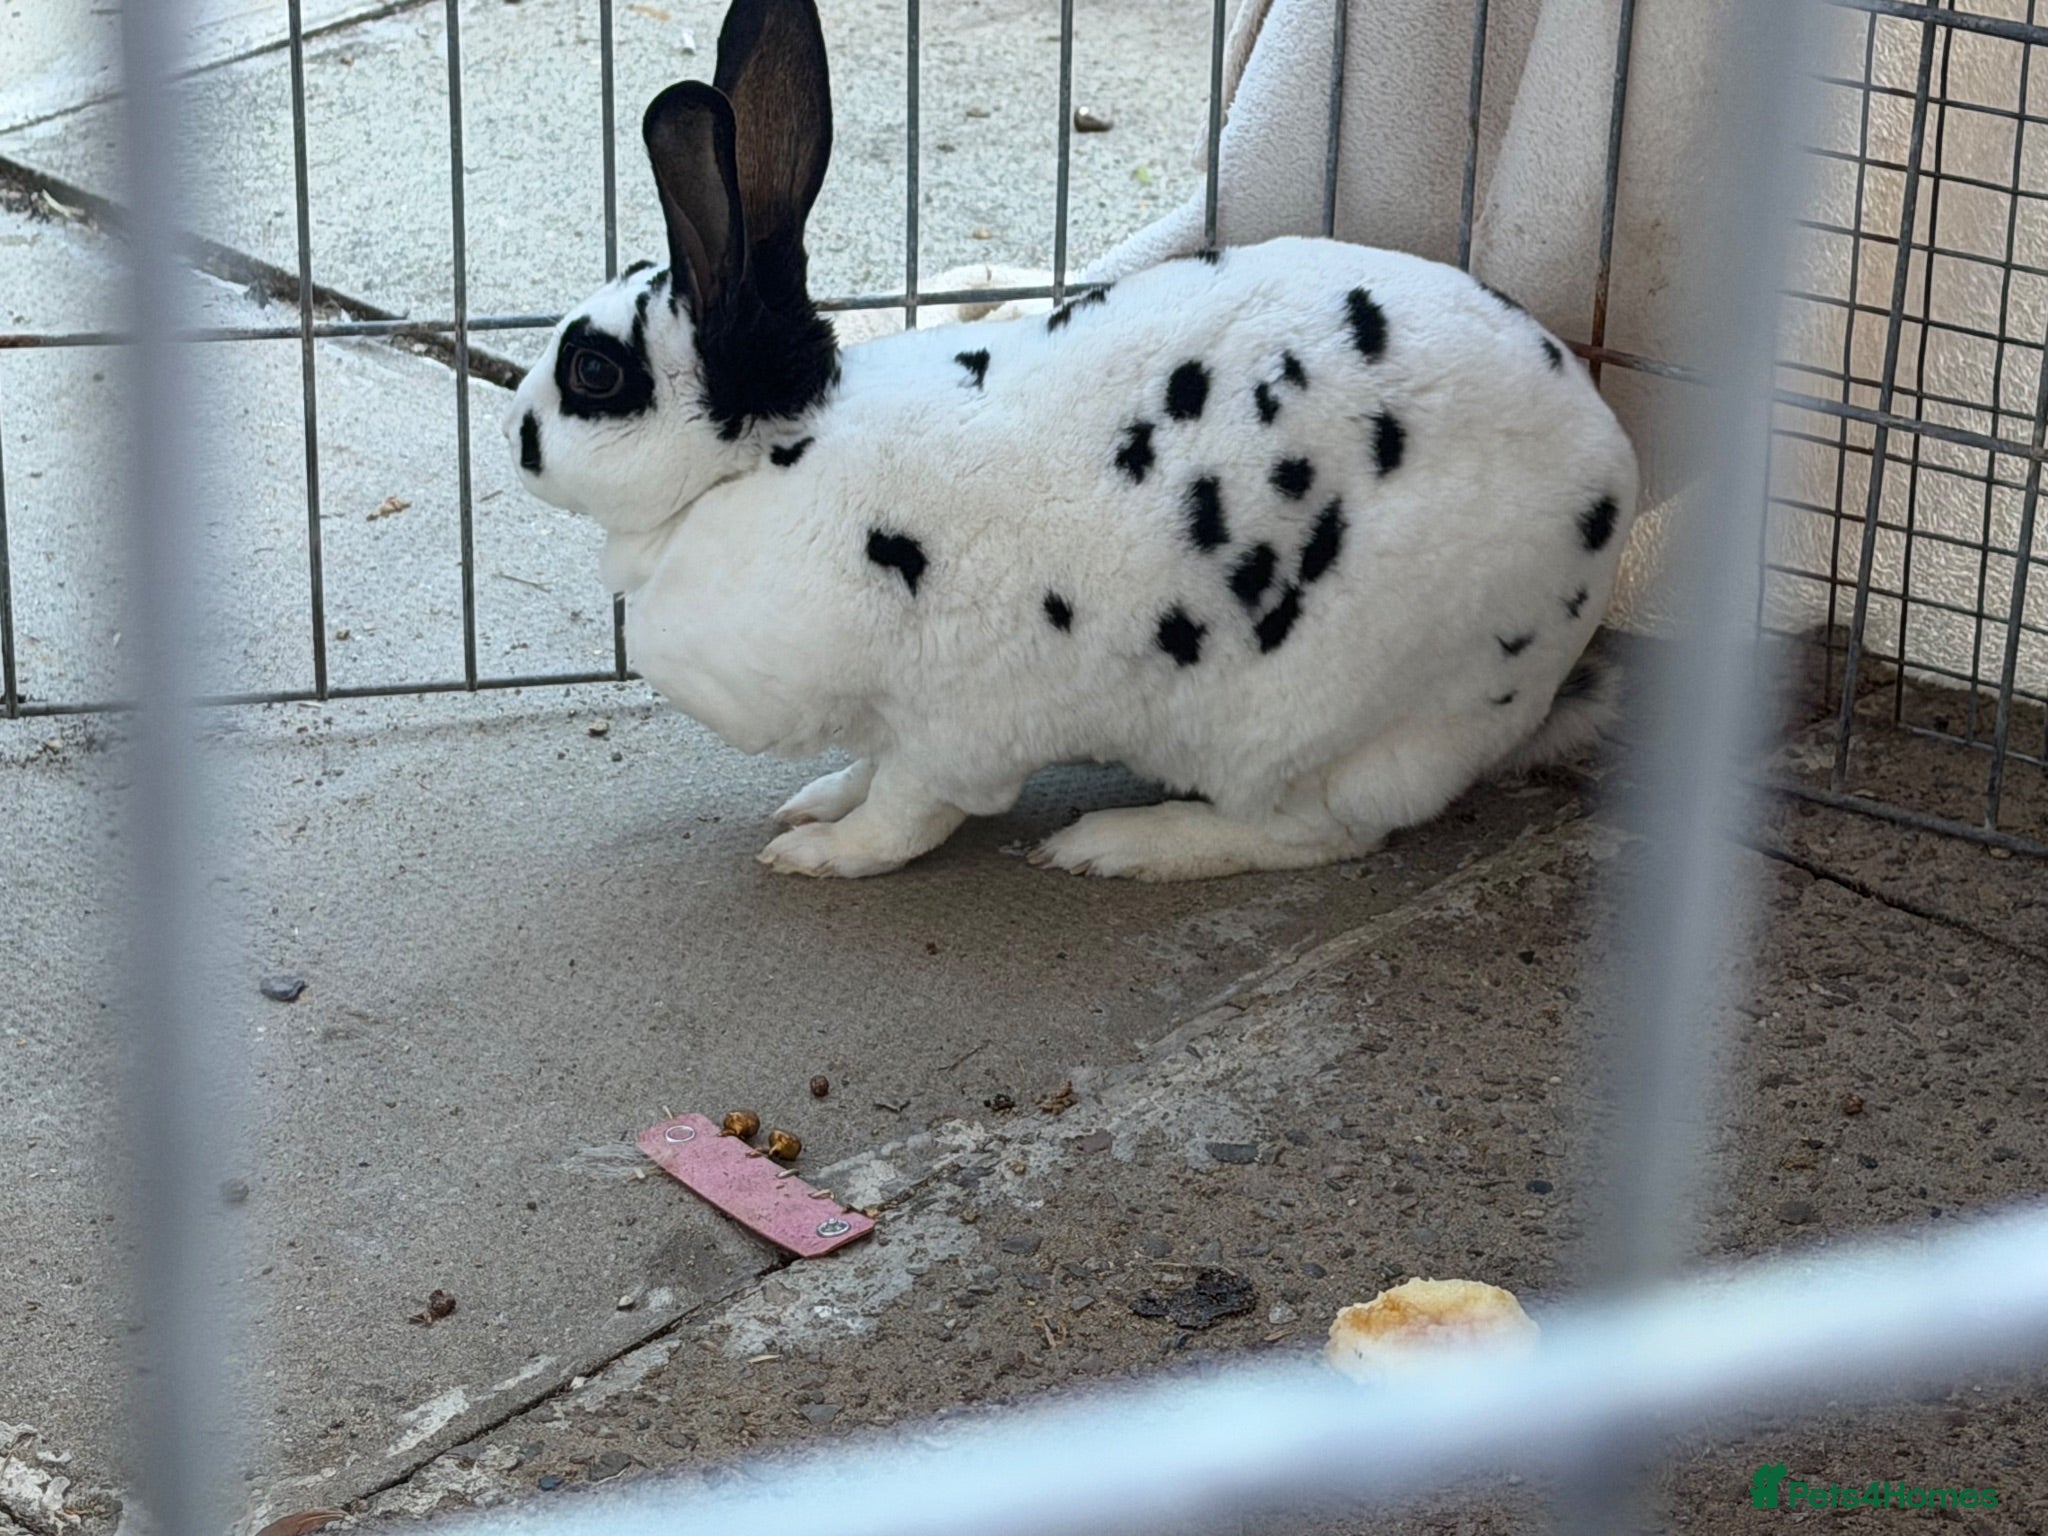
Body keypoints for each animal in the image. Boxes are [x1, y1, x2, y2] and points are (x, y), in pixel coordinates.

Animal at [501, 0, 1639, 881]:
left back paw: (1117, 844)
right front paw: (814, 799)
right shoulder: (888, 720)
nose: (515, 436)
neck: (771, 457)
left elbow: (905, 814)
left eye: (594, 373)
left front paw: (817, 854)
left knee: (1317, 832)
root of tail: (1614, 479)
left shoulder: (951, 724)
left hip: (1321, 719)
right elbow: (863, 771)